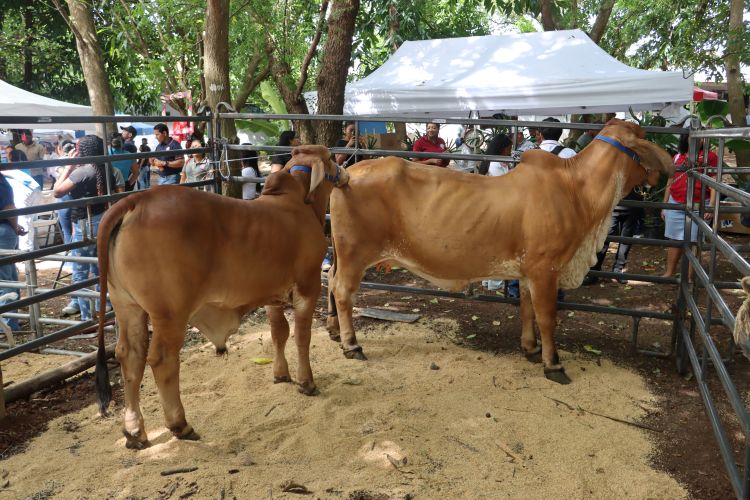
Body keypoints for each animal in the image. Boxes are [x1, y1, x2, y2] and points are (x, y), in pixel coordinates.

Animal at [94, 145, 349, 449]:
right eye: (331, 157)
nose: (345, 173)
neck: (301, 202)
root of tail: (137, 199)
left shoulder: (271, 294)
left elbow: (279, 332)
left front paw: (281, 374)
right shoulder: (307, 285)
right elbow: (302, 336)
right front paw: (306, 382)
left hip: (126, 305)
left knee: (129, 356)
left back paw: (134, 431)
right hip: (170, 313)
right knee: (161, 360)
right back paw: (180, 424)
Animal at [326, 119, 673, 384]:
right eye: (643, 137)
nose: (666, 167)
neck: (577, 191)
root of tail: (348, 173)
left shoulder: (528, 271)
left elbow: (527, 309)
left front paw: (530, 349)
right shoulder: (545, 269)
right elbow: (547, 317)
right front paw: (554, 364)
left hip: (343, 254)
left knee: (330, 281)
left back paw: (333, 331)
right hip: (355, 253)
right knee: (343, 290)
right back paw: (351, 344)